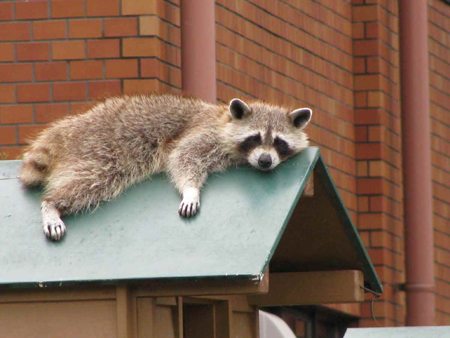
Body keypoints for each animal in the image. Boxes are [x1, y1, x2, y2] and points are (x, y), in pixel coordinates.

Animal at [19, 93, 312, 240]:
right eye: (255, 138)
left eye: (279, 142)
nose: (265, 161)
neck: (225, 121)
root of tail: (69, 127)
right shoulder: (203, 134)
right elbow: (182, 158)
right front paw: (191, 191)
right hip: (100, 148)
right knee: (92, 179)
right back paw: (52, 205)